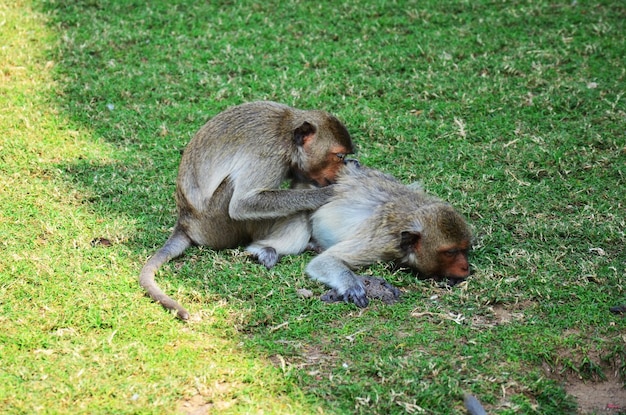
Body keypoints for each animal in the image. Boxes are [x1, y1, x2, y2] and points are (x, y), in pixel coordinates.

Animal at [141, 99, 354, 320]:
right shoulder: (270, 155)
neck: (288, 138)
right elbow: (242, 205)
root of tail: (185, 222)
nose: (345, 166)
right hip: (216, 225)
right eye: (339, 156)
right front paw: (327, 194)